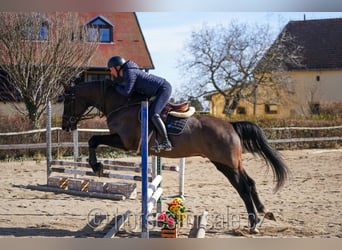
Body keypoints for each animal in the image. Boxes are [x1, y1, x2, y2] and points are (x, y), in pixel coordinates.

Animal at [60, 80, 288, 232]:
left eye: (69, 100)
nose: (65, 126)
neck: (121, 104)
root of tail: (231, 126)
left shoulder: (126, 142)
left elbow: (93, 140)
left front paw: (96, 167)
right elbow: (94, 140)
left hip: (226, 164)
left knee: (243, 188)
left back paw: (253, 224)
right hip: (229, 163)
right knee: (250, 183)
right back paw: (264, 213)